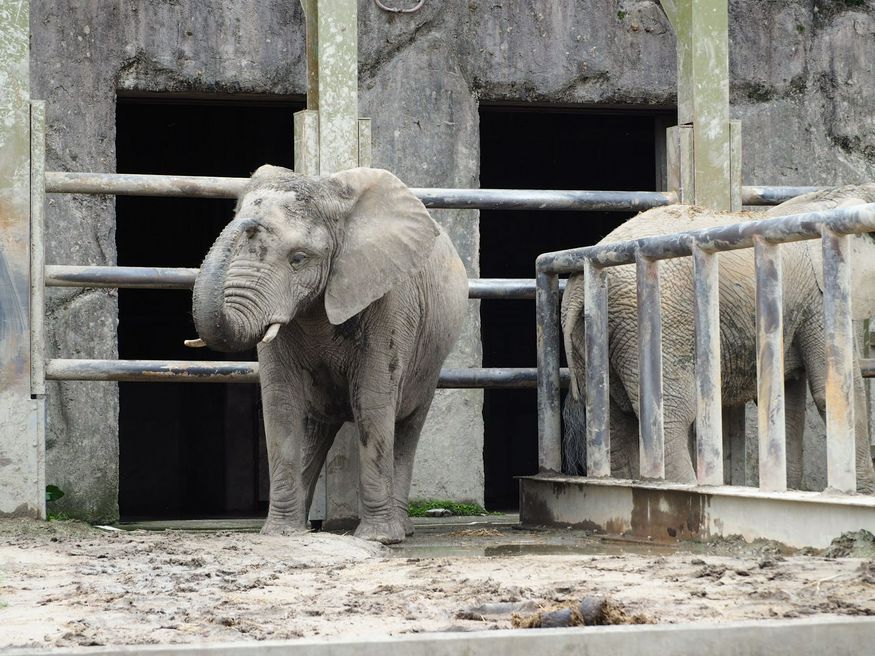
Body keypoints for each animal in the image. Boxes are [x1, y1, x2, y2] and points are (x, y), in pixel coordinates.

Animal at [188, 164, 468, 544]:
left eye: (298, 259)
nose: (246, 221)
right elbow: (280, 403)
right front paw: (280, 534)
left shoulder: (390, 299)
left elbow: (373, 401)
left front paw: (377, 538)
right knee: (314, 430)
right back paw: (303, 525)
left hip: (431, 359)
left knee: (408, 426)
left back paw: (402, 530)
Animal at [560, 184, 875, 492]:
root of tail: (577, 286)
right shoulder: (821, 294)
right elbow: (836, 389)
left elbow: (785, 400)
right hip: (654, 323)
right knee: (671, 417)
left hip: (596, 335)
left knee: (613, 421)